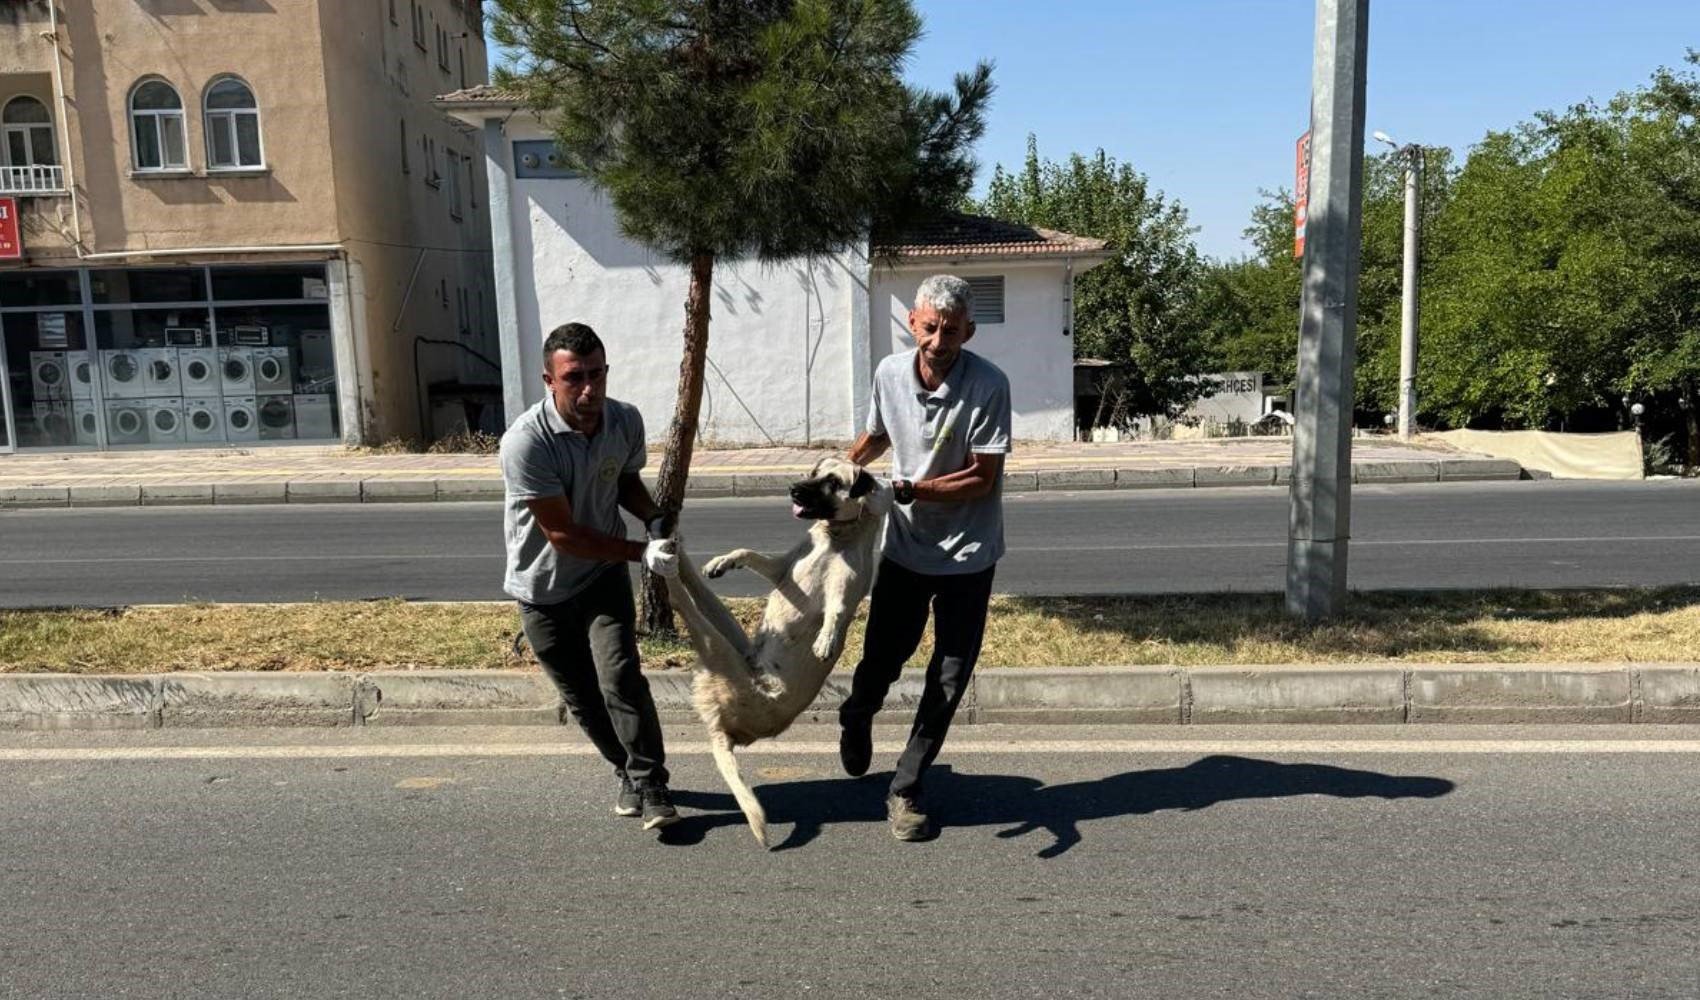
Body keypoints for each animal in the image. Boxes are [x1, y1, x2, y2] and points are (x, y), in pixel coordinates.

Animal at [656, 459, 890, 843]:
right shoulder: (781, 569)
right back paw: (676, 551)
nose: (793, 489)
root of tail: (721, 728)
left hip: (721, 652)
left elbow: (836, 612)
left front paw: (826, 639)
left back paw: (667, 566)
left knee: (685, 602)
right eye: (814, 472)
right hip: (730, 639)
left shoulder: (845, 590)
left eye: (833, 481)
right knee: (697, 592)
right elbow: (748, 553)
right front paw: (725, 560)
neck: (835, 538)